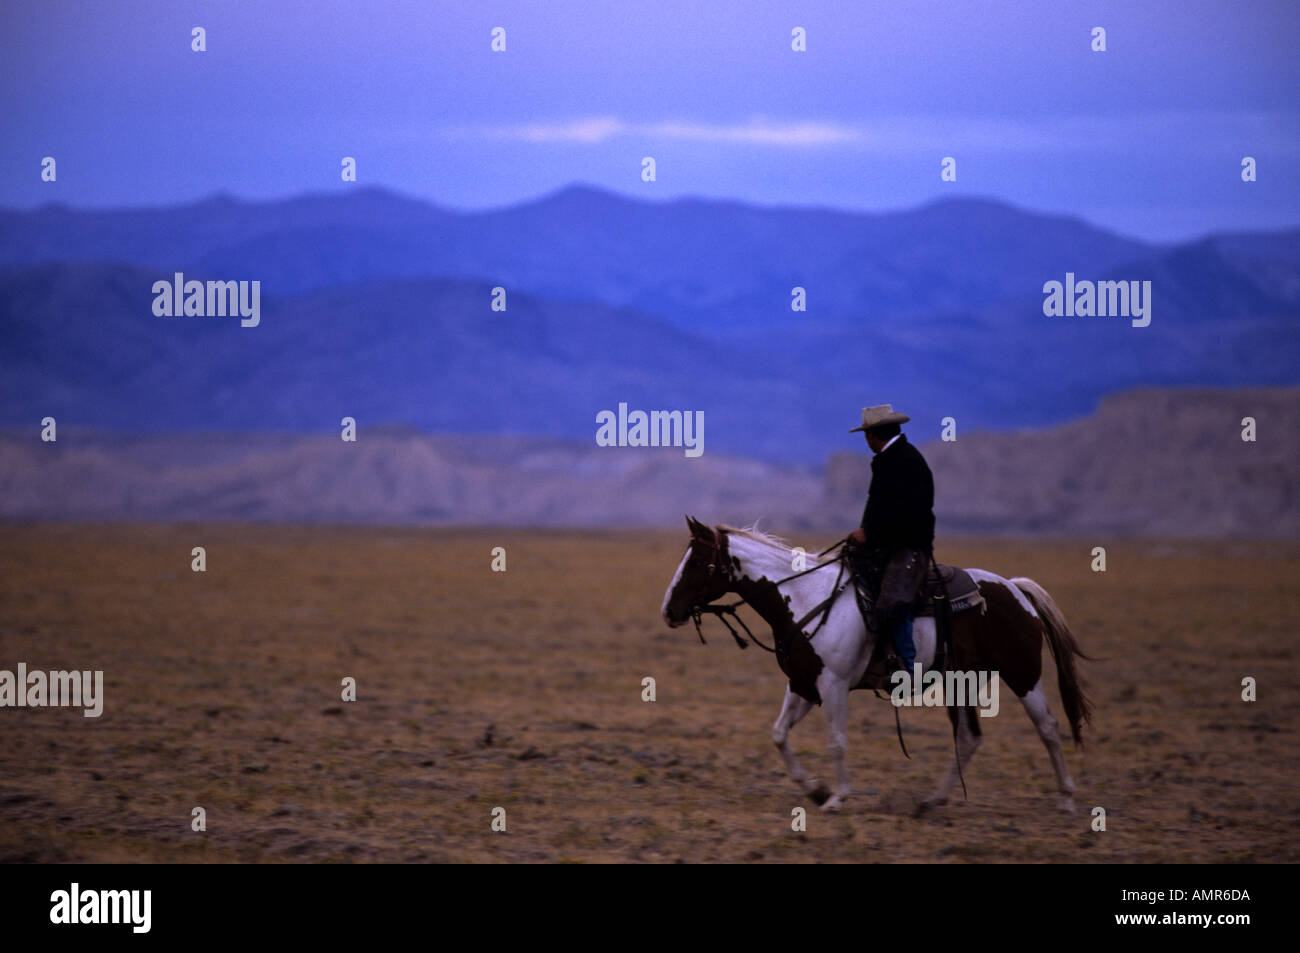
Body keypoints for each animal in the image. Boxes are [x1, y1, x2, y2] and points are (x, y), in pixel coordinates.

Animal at [655, 517, 1092, 816]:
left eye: (697, 562)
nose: (669, 611)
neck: (805, 596)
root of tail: (1016, 588)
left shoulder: (833, 685)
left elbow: (837, 741)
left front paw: (836, 797)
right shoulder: (803, 684)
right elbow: (779, 734)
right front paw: (814, 788)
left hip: (1023, 674)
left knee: (1048, 727)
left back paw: (1068, 800)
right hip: (961, 682)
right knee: (969, 738)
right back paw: (932, 801)